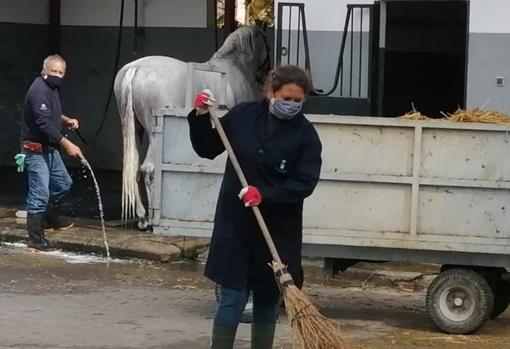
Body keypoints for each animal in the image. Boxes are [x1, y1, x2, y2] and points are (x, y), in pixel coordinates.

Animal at [113, 26, 268, 228]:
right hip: (154, 134)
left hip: (135, 130)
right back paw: (151, 219)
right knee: (148, 168)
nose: (265, 76)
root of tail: (135, 69)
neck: (235, 68)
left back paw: (142, 218)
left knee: (133, 168)